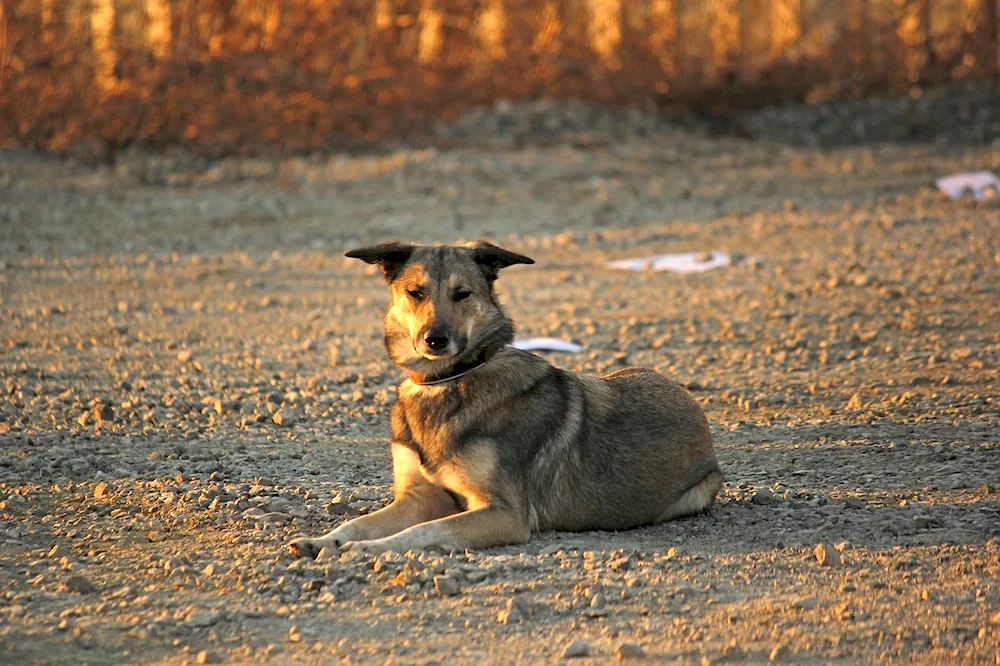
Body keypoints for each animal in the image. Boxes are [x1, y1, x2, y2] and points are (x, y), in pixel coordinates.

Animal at [288, 239, 720, 556]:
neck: (450, 380)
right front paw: (325, 540)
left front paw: (369, 549)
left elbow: (425, 532)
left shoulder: (505, 513)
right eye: (415, 292)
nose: (435, 340)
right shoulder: (418, 497)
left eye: (462, 294)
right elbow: (356, 522)